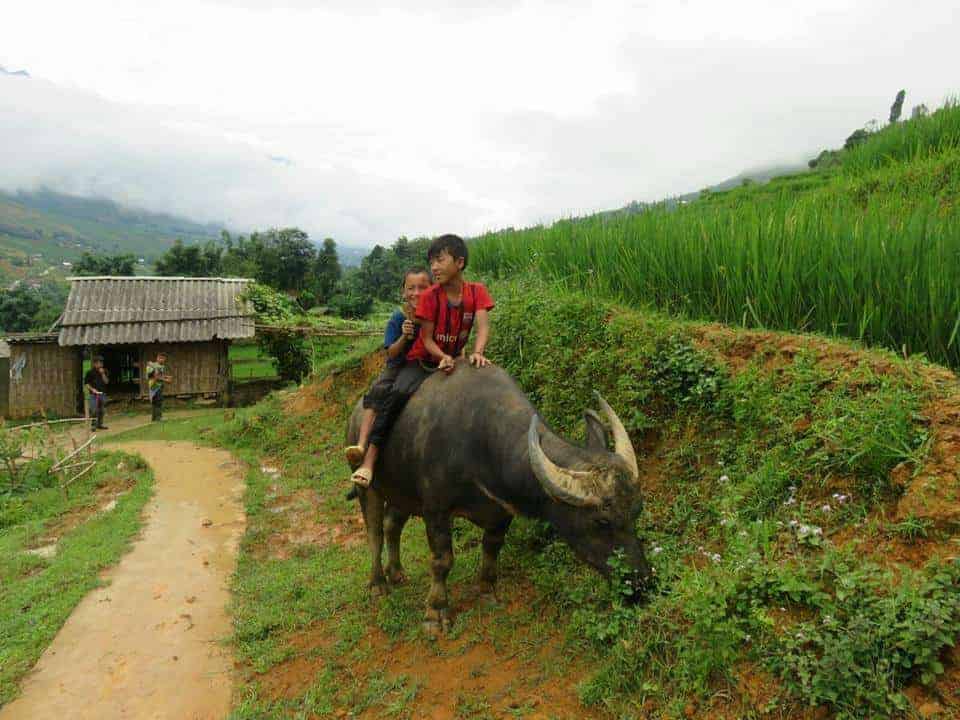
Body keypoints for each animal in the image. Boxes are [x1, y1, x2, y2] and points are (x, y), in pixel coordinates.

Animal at [347, 359, 651, 635]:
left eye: (637, 510)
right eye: (601, 522)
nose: (640, 584)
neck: (478, 442)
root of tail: (356, 413)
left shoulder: (500, 512)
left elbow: (492, 548)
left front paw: (487, 591)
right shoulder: (435, 509)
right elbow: (442, 561)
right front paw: (436, 612)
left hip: (403, 492)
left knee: (392, 524)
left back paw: (396, 571)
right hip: (368, 486)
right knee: (374, 532)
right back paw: (378, 583)